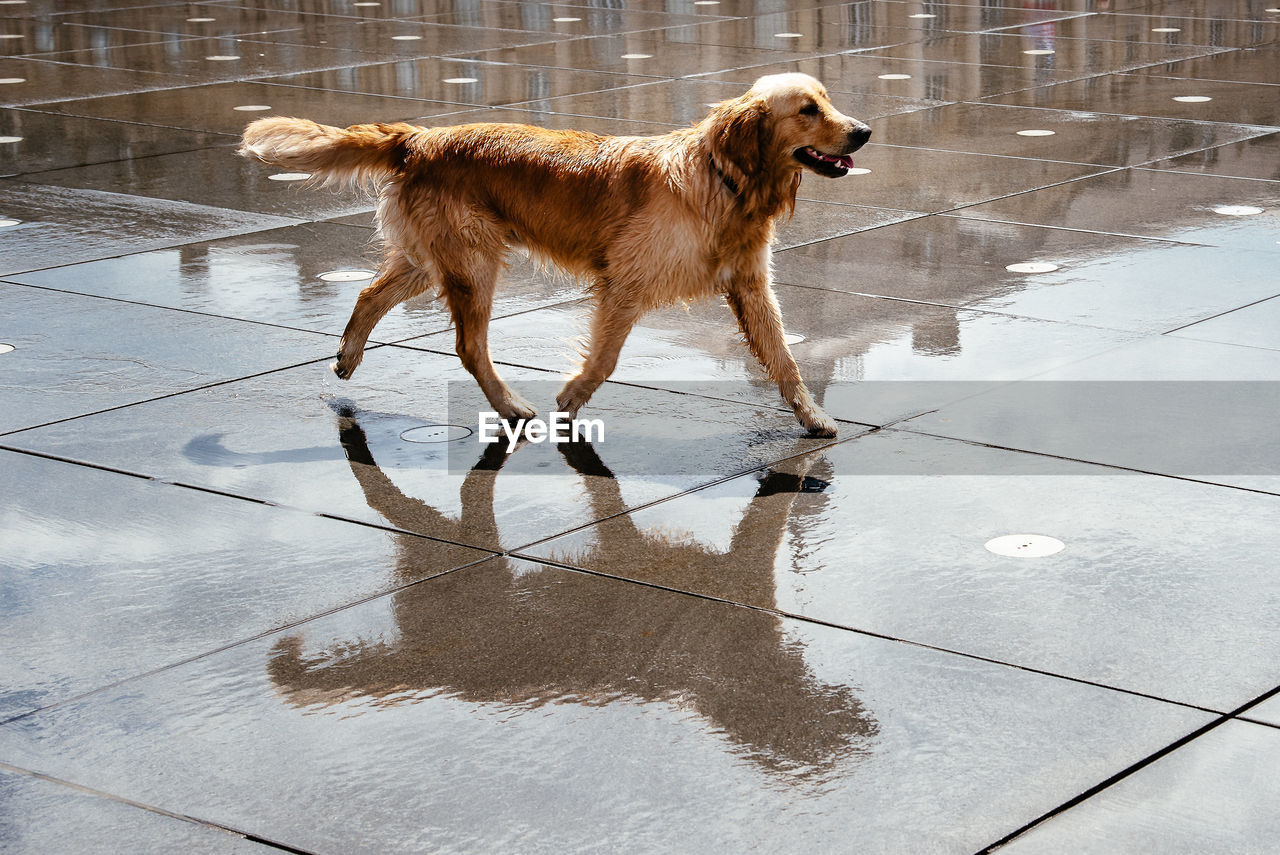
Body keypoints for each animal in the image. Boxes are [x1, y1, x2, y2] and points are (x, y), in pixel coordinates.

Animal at [239, 71, 870, 435]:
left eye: (828, 101)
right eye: (808, 109)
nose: (862, 131)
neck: (724, 179)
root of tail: (419, 138)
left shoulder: (750, 284)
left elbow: (785, 360)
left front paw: (814, 416)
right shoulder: (625, 281)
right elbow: (606, 357)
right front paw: (571, 398)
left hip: (432, 258)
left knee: (371, 292)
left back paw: (347, 356)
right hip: (473, 264)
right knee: (469, 347)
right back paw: (511, 407)